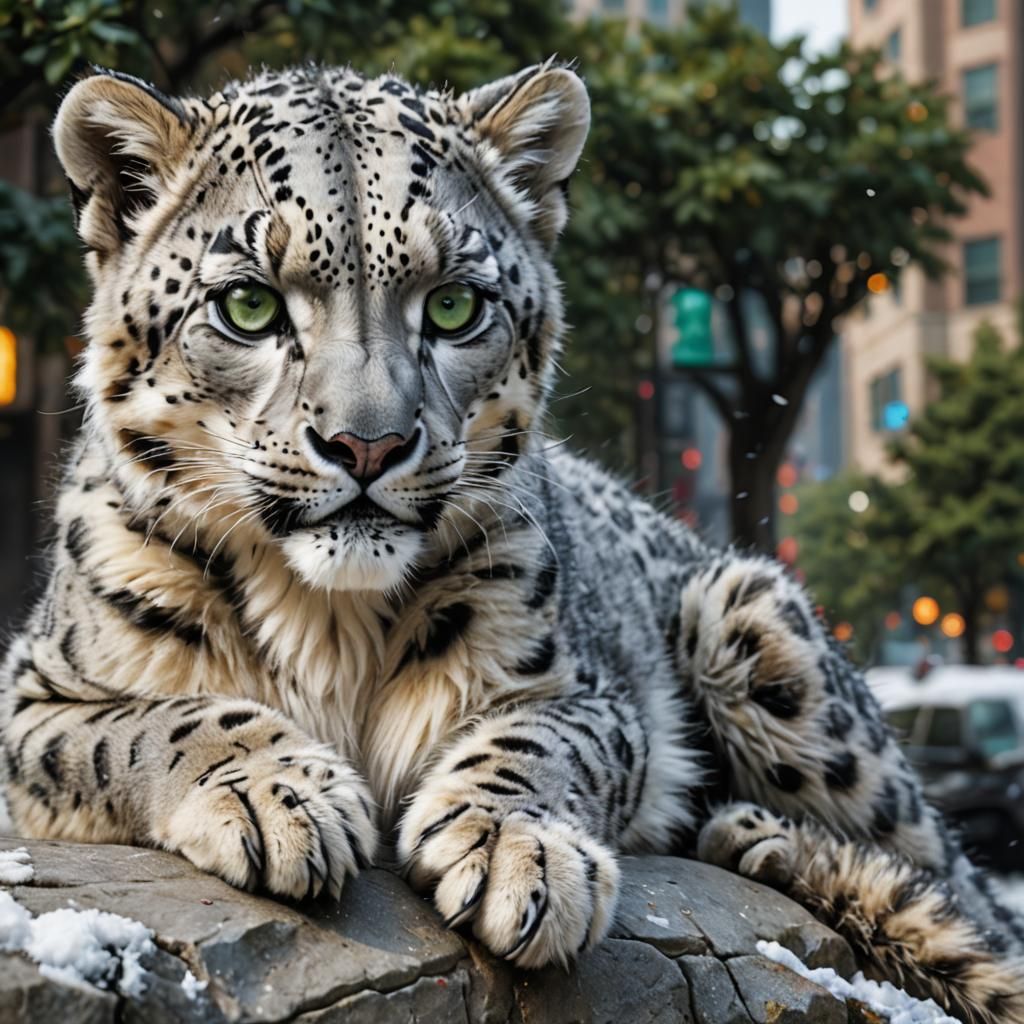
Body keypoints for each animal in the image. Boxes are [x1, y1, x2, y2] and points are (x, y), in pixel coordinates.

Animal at [2, 61, 1022, 1022]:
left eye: (455, 305)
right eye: (249, 306)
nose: (368, 444)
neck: (328, 621)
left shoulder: (584, 686)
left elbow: (541, 741)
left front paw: (512, 850)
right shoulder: (34, 693)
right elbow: (142, 724)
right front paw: (273, 794)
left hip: (758, 633)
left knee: (962, 891)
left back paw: (774, 845)